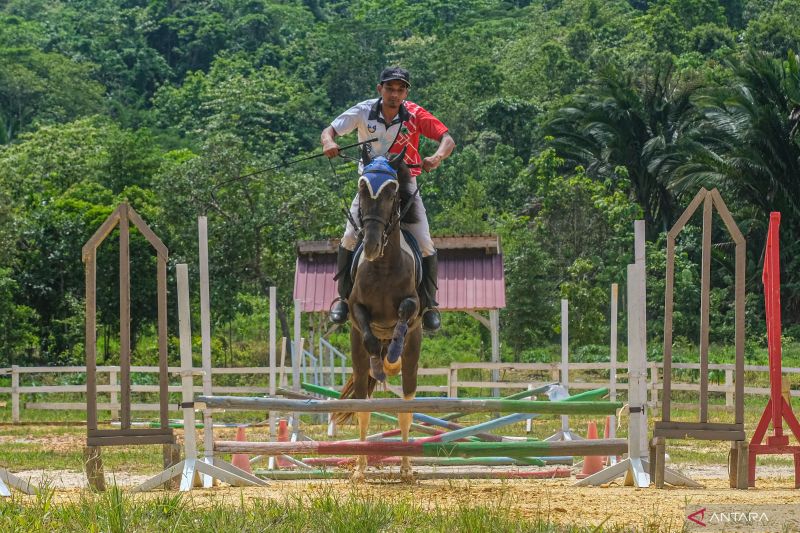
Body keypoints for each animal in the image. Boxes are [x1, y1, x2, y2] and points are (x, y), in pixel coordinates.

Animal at [332, 147, 422, 482]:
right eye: (362, 189)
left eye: (393, 191)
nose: (370, 244)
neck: (383, 265)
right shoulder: (358, 312)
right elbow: (368, 335)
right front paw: (380, 364)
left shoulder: (413, 304)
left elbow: (405, 312)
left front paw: (391, 359)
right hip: (356, 357)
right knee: (364, 405)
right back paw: (359, 468)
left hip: (415, 354)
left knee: (406, 406)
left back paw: (407, 467)